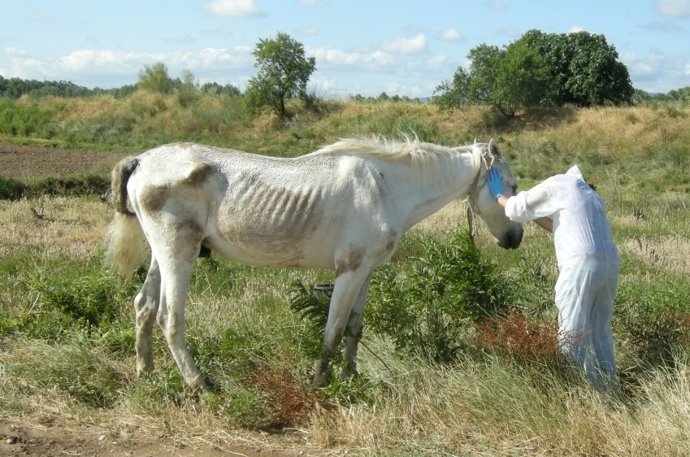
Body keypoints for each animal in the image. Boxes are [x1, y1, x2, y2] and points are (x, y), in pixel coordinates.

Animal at [107, 137, 523, 391]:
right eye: (514, 186)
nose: (514, 238)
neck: (386, 187)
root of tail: (142, 161)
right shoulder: (349, 272)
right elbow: (333, 330)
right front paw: (320, 380)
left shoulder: (366, 272)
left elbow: (355, 327)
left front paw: (350, 376)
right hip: (179, 253)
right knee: (169, 317)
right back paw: (201, 385)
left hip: (162, 254)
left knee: (144, 307)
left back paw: (146, 373)